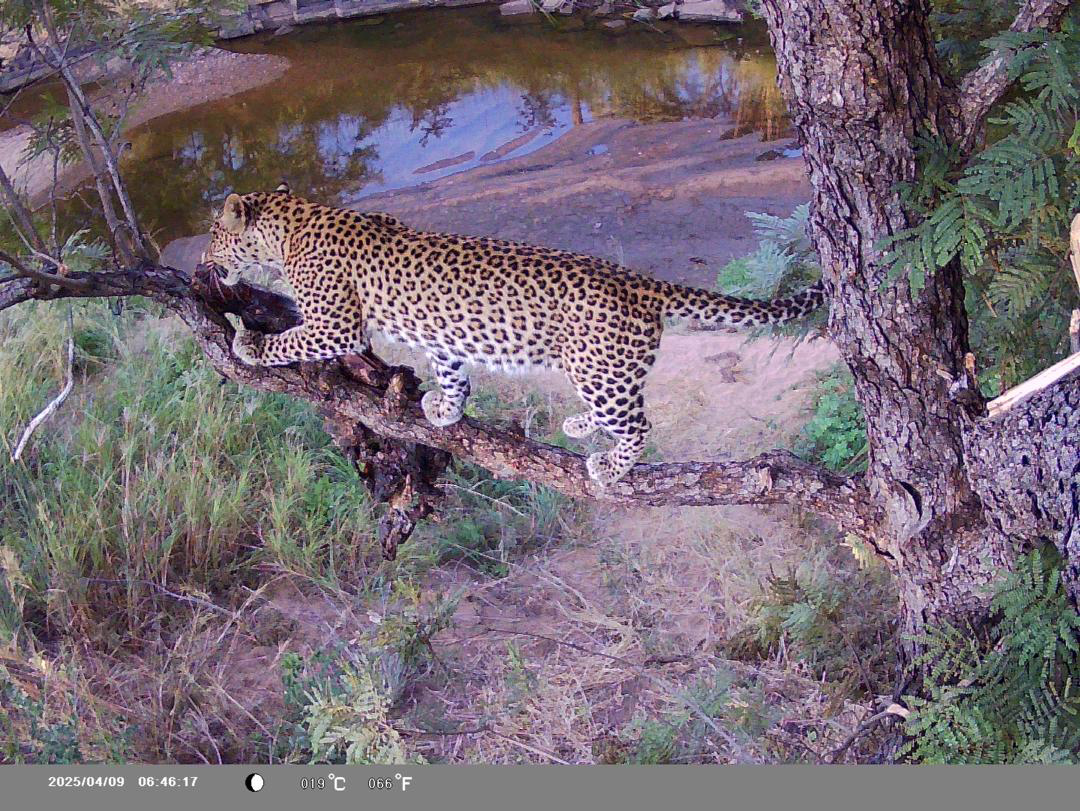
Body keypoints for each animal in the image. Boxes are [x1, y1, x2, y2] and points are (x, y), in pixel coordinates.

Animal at [202, 183, 826, 488]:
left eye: (212, 233)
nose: (205, 260)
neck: (290, 227)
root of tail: (639, 281)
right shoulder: (443, 338)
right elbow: (451, 370)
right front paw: (446, 409)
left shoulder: (336, 322)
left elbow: (294, 339)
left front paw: (251, 348)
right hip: (603, 371)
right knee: (620, 411)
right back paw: (582, 426)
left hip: (602, 370)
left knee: (641, 425)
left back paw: (611, 466)